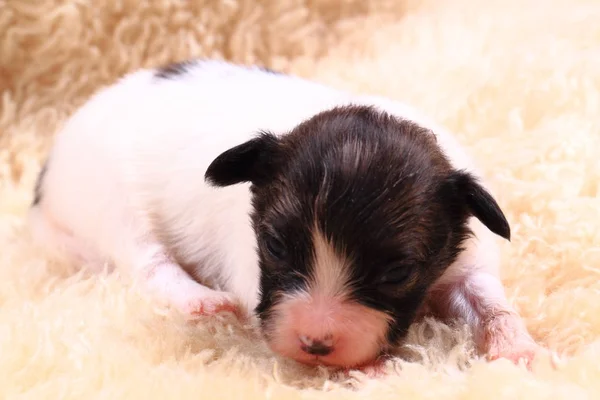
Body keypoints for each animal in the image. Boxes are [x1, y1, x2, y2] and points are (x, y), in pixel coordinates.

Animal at [28, 58, 540, 368]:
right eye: (274, 246)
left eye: (397, 273)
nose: (314, 344)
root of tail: (45, 187)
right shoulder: (245, 258)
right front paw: (373, 370)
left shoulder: (466, 257)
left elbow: (489, 298)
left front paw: (517, 346)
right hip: (112, 202)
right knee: (149, 264)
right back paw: (199, 300)